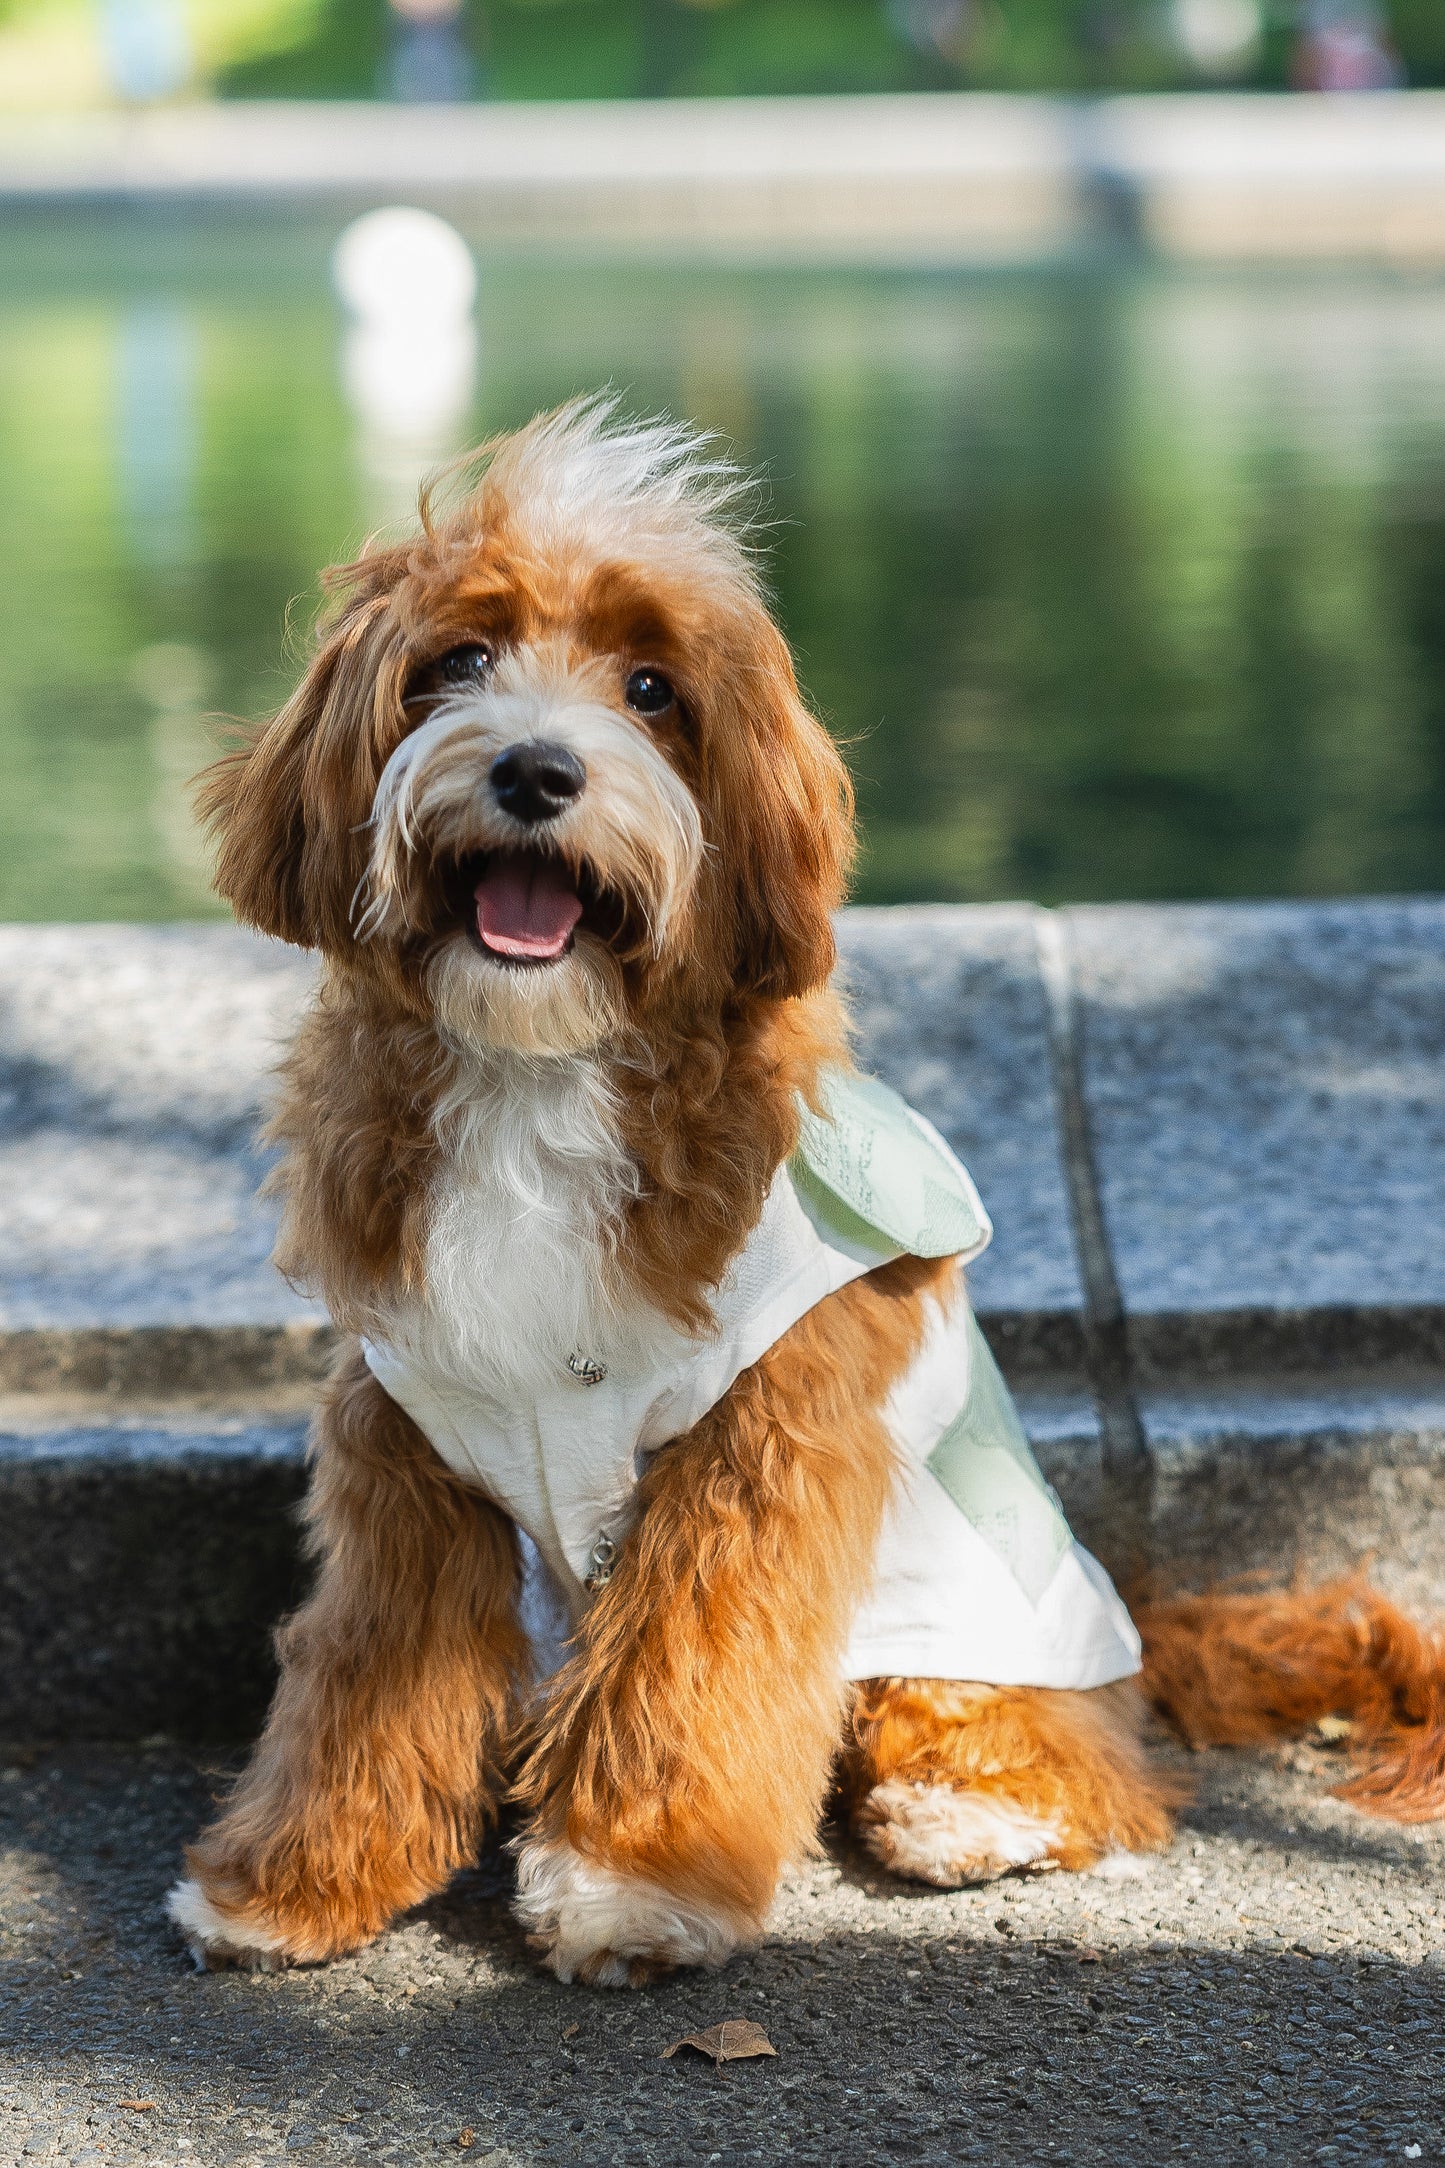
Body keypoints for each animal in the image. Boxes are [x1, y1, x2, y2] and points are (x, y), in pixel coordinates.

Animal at [163, 398, 1230, 1985]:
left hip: (974, 1610)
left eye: (652, 688)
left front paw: (630, 1884)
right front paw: (291, 1880)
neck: (541, 1069)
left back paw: (973, 1809)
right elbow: (366, 1671)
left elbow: (695, 1667)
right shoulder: (409, 1442)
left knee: (1055, 1738)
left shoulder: (752, 1454)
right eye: (454, 664)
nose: (536, 771)